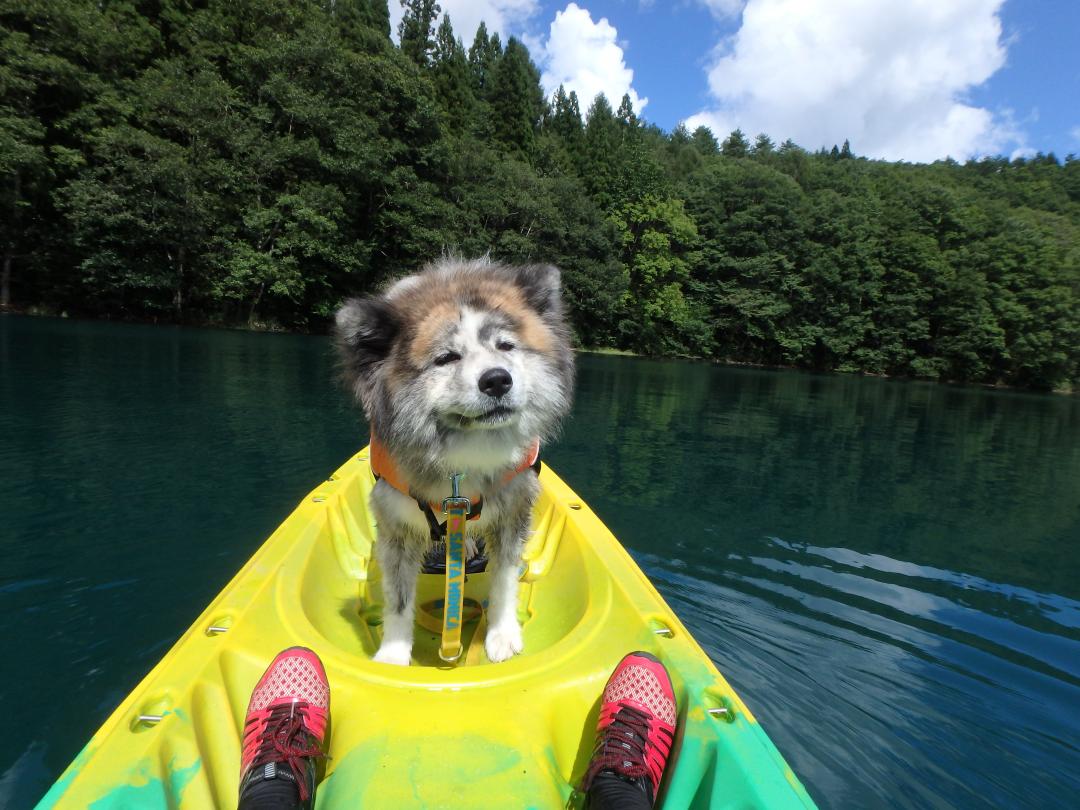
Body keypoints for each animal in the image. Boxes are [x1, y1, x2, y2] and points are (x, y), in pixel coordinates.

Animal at [334, 258, 574, 665]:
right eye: (446, 357)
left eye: (506, 345)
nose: (497, 380)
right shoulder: (396, 523)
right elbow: (398, 599)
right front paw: (394, 655)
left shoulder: (513, 508)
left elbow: (505, 578)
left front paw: (502, 634)